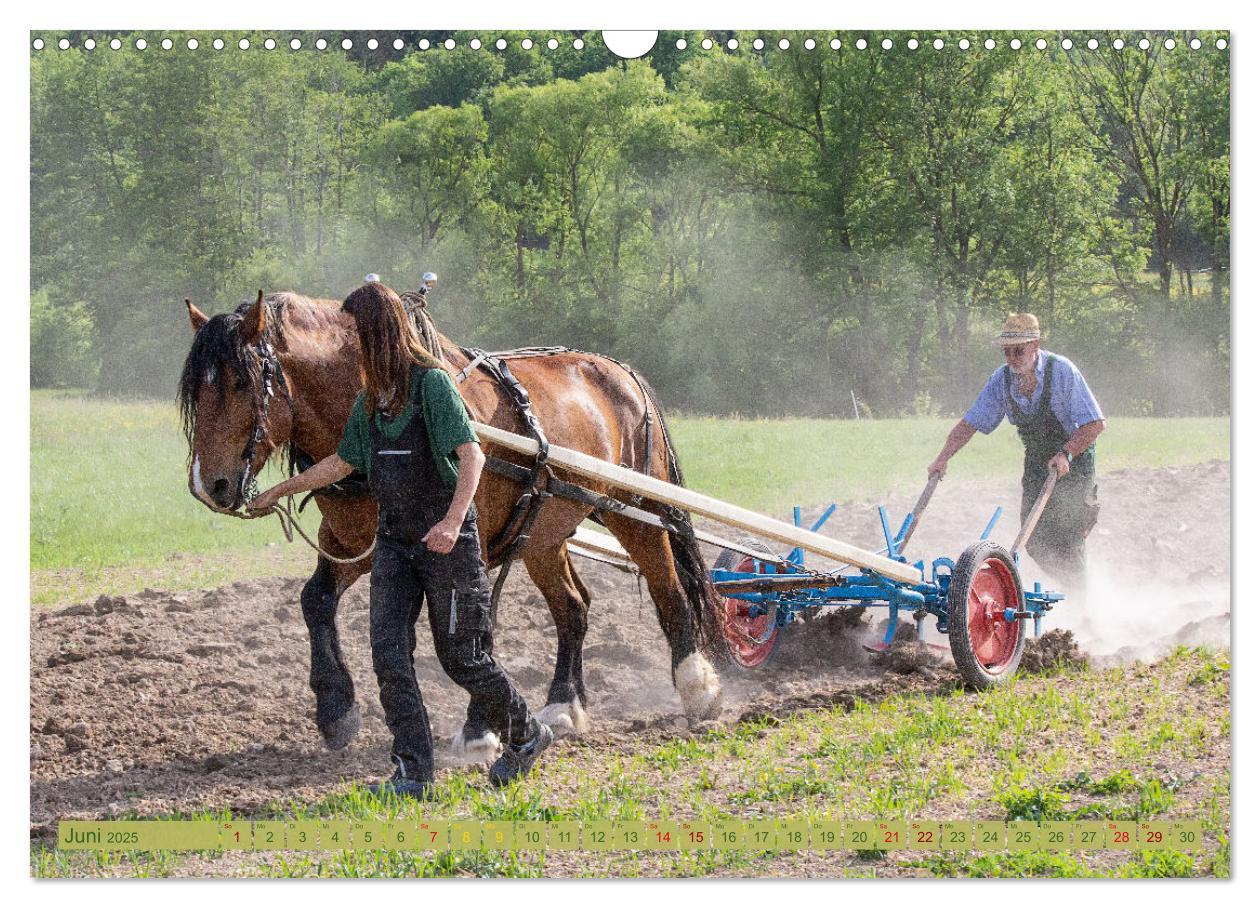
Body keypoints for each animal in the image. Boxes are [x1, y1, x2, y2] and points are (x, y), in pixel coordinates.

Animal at [181, 293, 725, 755]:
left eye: (241, 382)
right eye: (195, 392)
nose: (210, 485)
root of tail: (622, 373)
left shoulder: (468, 544)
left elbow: (471, 631)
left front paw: (479, 731)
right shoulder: (356, 542)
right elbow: (315, 600)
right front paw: (336, 711)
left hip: (634, 509)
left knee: (669, 589)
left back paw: (697, 687)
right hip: (544, 532)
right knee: (573, 608)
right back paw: (564, 704)